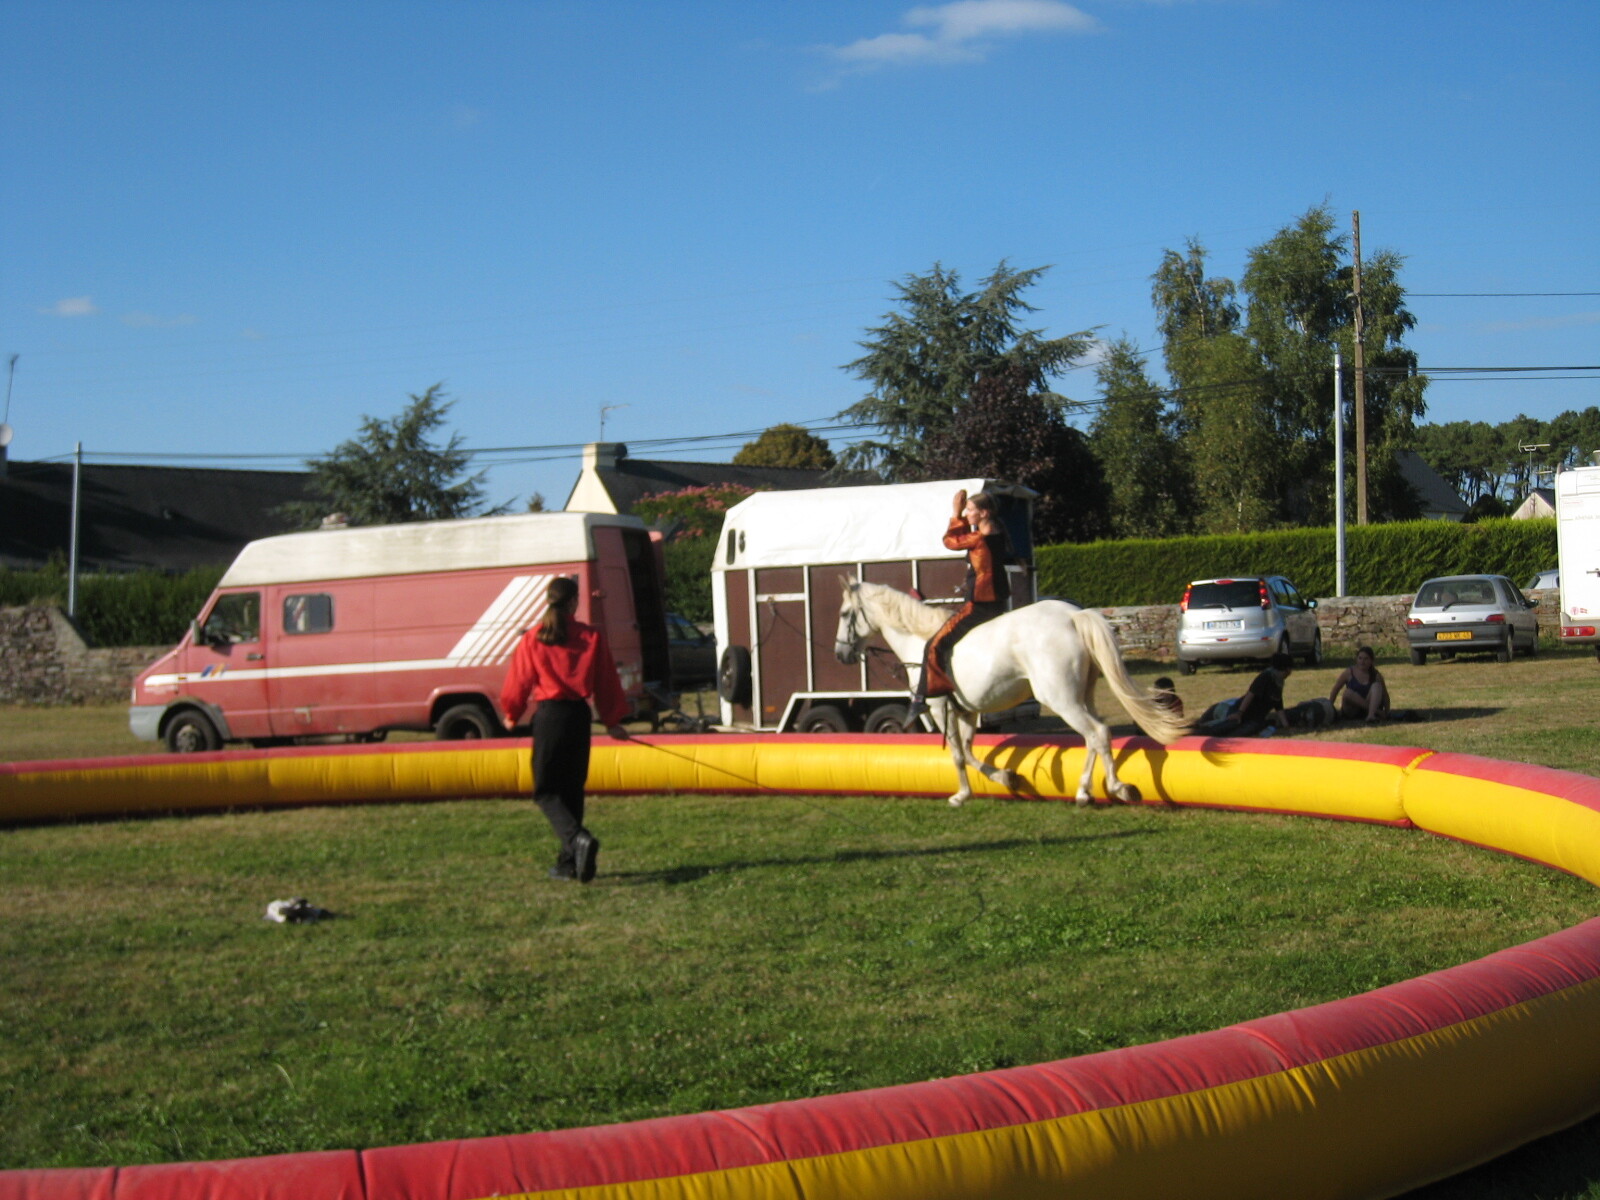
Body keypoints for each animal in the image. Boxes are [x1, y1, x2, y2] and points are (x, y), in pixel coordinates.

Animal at [834, 578, 1191, 807]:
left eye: (843, 614)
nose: (841, 654)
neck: (918, 638)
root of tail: (1072, 616)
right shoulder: (967, 710)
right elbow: (968, 752)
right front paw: (1006, 778)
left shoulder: (938, 708)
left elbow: (957, 754)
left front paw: (962, 795)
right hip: (1082, 695)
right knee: (1095, 736)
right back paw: (1093, 789)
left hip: (1061, 699)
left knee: (1097, 733)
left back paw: (1105, 790)